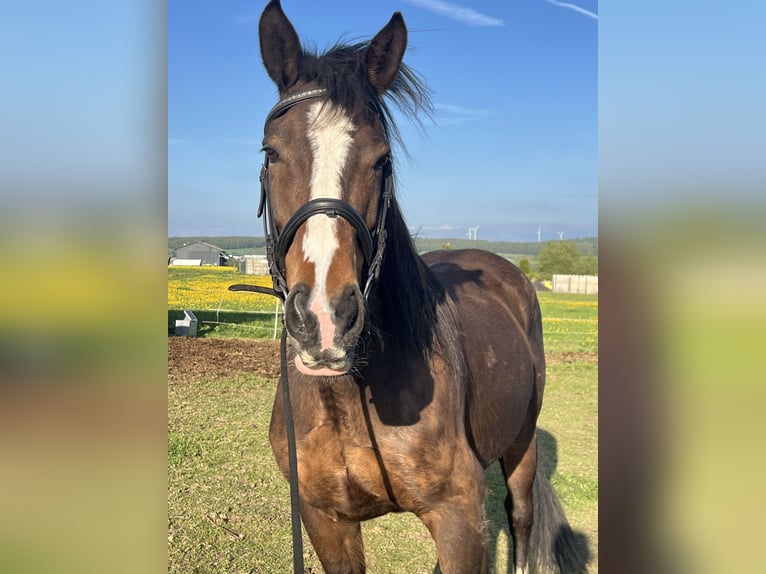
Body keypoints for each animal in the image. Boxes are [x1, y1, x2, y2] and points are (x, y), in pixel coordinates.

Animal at [254, 1, 586, 572]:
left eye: (381, 159)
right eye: (272, 153)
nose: (324, 319)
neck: (350, 397)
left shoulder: (460, 524)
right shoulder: (325, 521)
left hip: (522, 440)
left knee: (520, 517)